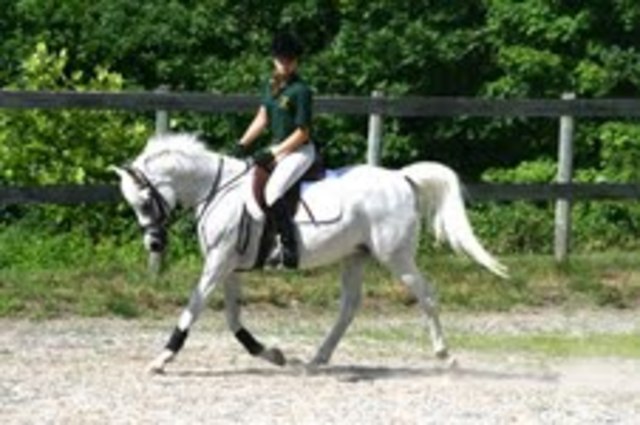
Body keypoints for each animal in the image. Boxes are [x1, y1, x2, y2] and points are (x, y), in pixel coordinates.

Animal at [111, 133, 507, 374]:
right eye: (134, 205)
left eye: (144, 201)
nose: (154, 245)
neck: (216, 189)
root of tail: (401, 178)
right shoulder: (230, 267)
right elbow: (233, 320)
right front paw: (271, 354)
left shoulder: (219, 263)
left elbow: (193, 307)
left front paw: (163, 358)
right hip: (355, 256)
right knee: (349, 307)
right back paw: (319, 357)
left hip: (396, 257)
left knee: (426, 295)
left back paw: (446, 356)